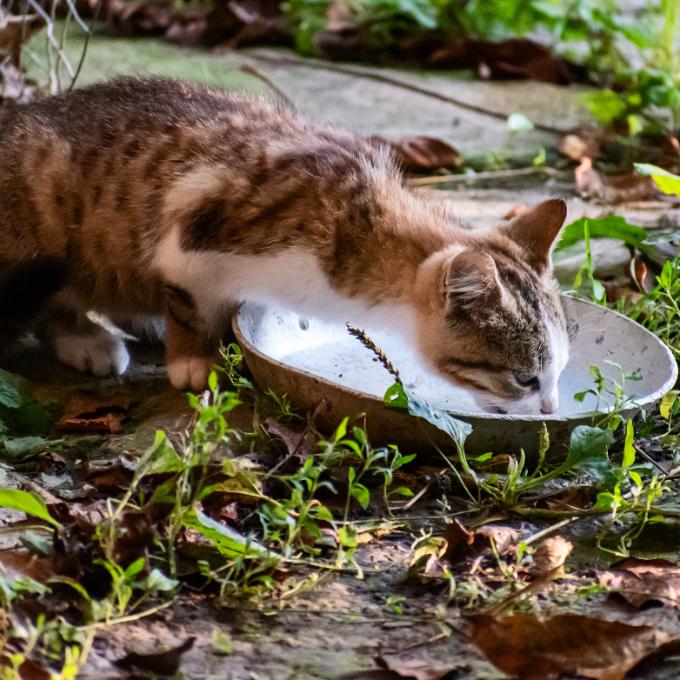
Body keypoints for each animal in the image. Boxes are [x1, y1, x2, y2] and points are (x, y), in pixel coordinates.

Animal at [0, 77, 572, 412]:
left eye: (559, 373)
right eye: (524, 378)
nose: (550, 408)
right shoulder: (191, 234)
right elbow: (189, 303)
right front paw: (193, 361)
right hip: (43, 211)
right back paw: (89, 338)